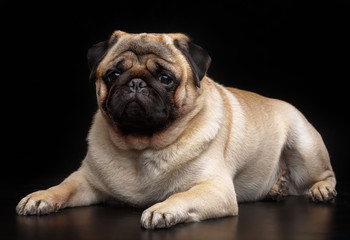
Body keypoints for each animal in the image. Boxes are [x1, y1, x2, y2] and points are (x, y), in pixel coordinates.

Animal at [16, 30, 336, 229]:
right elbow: (63, 187)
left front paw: (162, 210)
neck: (141, 147)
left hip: (304, 145)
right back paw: (277, 189)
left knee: (324, 174)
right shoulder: (86, 181)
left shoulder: (214, 189)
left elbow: (181, 196)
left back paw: (321, 190)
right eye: (114, 75)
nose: (135, 82)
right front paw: (40, 197)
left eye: (165, 78)